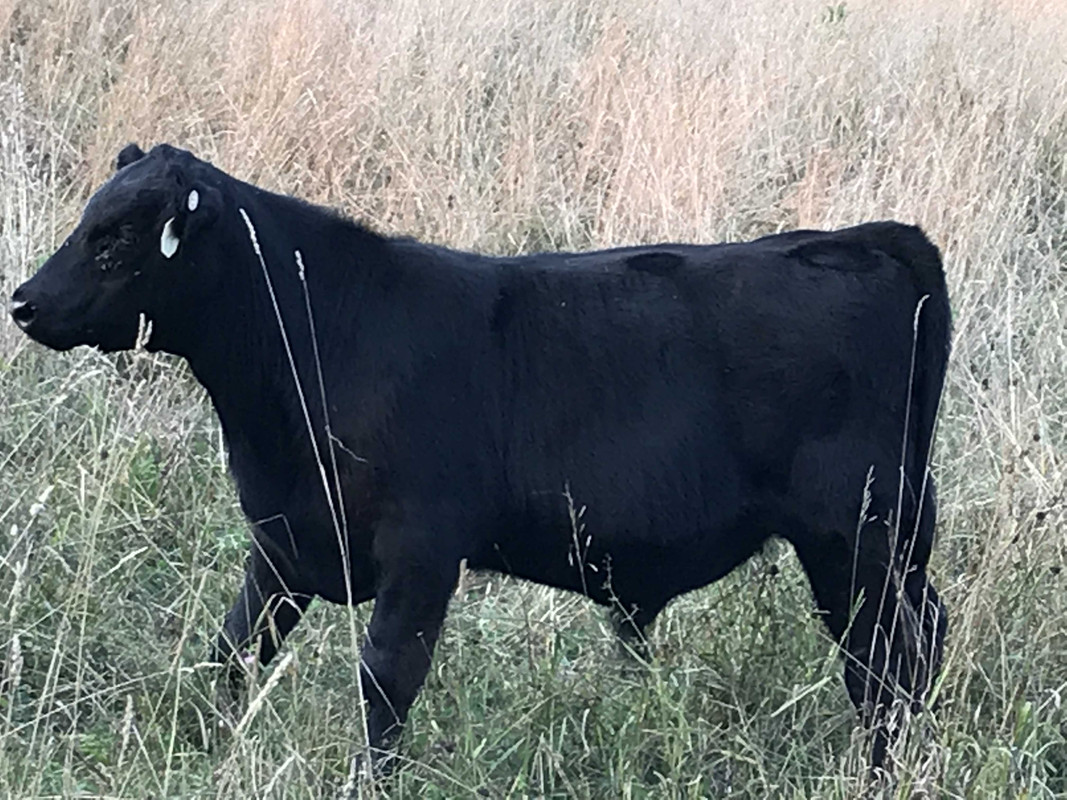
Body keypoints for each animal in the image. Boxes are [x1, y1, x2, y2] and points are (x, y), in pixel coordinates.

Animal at [11, 143, 949, 775]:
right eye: (88, 221)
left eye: (116, 238)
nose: (22, 301)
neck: (322, 334)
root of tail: (866, 239)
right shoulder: (285, 540)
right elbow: (232, 651)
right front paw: (202, 743)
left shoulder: (422, 551)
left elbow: (385, 680)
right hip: (894, 542)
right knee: (918, 644)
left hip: (851, 536)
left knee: (882, 663)